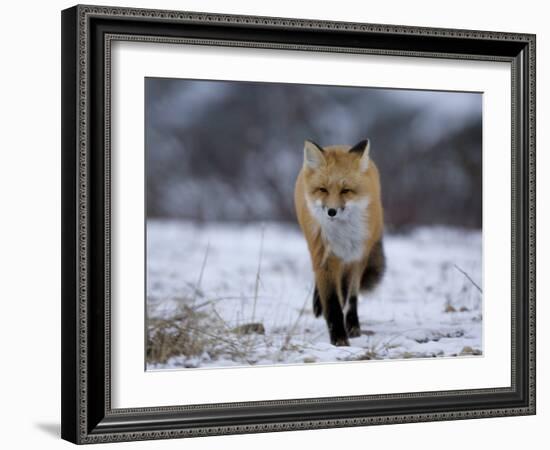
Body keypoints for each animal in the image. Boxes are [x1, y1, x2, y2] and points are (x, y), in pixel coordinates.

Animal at [296, 139, 386, 346]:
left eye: (346, 191)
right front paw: (338, 338)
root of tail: (338, 145)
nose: (331, 211)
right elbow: (332, 301)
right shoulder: (324, 254)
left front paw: (347, 331)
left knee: (351, 295)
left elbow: (348, 296)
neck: (341, 234)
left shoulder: (356, 255)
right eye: (323, 189)